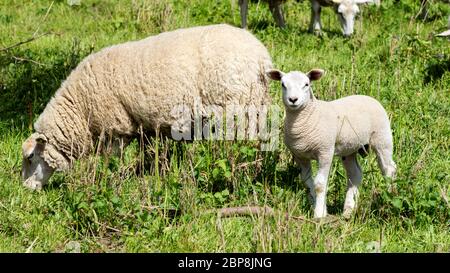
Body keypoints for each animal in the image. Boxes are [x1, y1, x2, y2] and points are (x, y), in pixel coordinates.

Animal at [22, 23, 274, 189]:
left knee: (242, 147)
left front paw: (111, 180)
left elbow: (110, 160)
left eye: (31, 157)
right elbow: (151, 155)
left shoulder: (116, 129)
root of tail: (261, 56)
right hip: (256, 104)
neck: (80, 110)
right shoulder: (145, 126)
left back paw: (244, 173)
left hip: (236, 107)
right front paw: (150, 174)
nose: (25, 189)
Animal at [266, 68, 396, 219]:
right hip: (349, 148)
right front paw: (315, 205)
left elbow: (319, 184)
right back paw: (348, 210)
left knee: (389, 169)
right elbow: (307, 182)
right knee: (355, 174)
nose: (293, 100)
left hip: (382, 138)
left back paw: (390, 197)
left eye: (306, 84)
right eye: (283, 84)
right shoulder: (300, 155)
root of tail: (369, 97)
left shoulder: (325, 151)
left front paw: (319, 214)